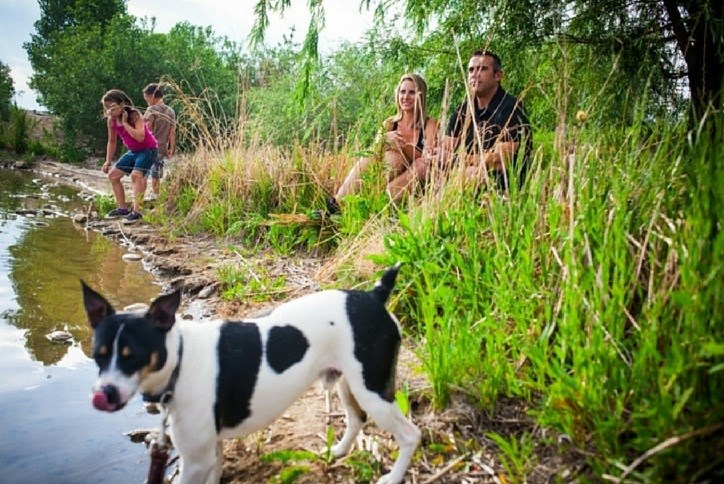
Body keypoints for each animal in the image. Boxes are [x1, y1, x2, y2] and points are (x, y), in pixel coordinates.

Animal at [82, 264, 418, 484]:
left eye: (133, 356)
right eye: (99, 355)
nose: (104, 394)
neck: (180, 358)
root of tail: (375, 295)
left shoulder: (195, 461)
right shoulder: (211, 451)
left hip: (372, 390)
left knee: (411, 435)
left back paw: (393, 477)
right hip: (350, 384)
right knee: (357, 418)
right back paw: (338, 451)